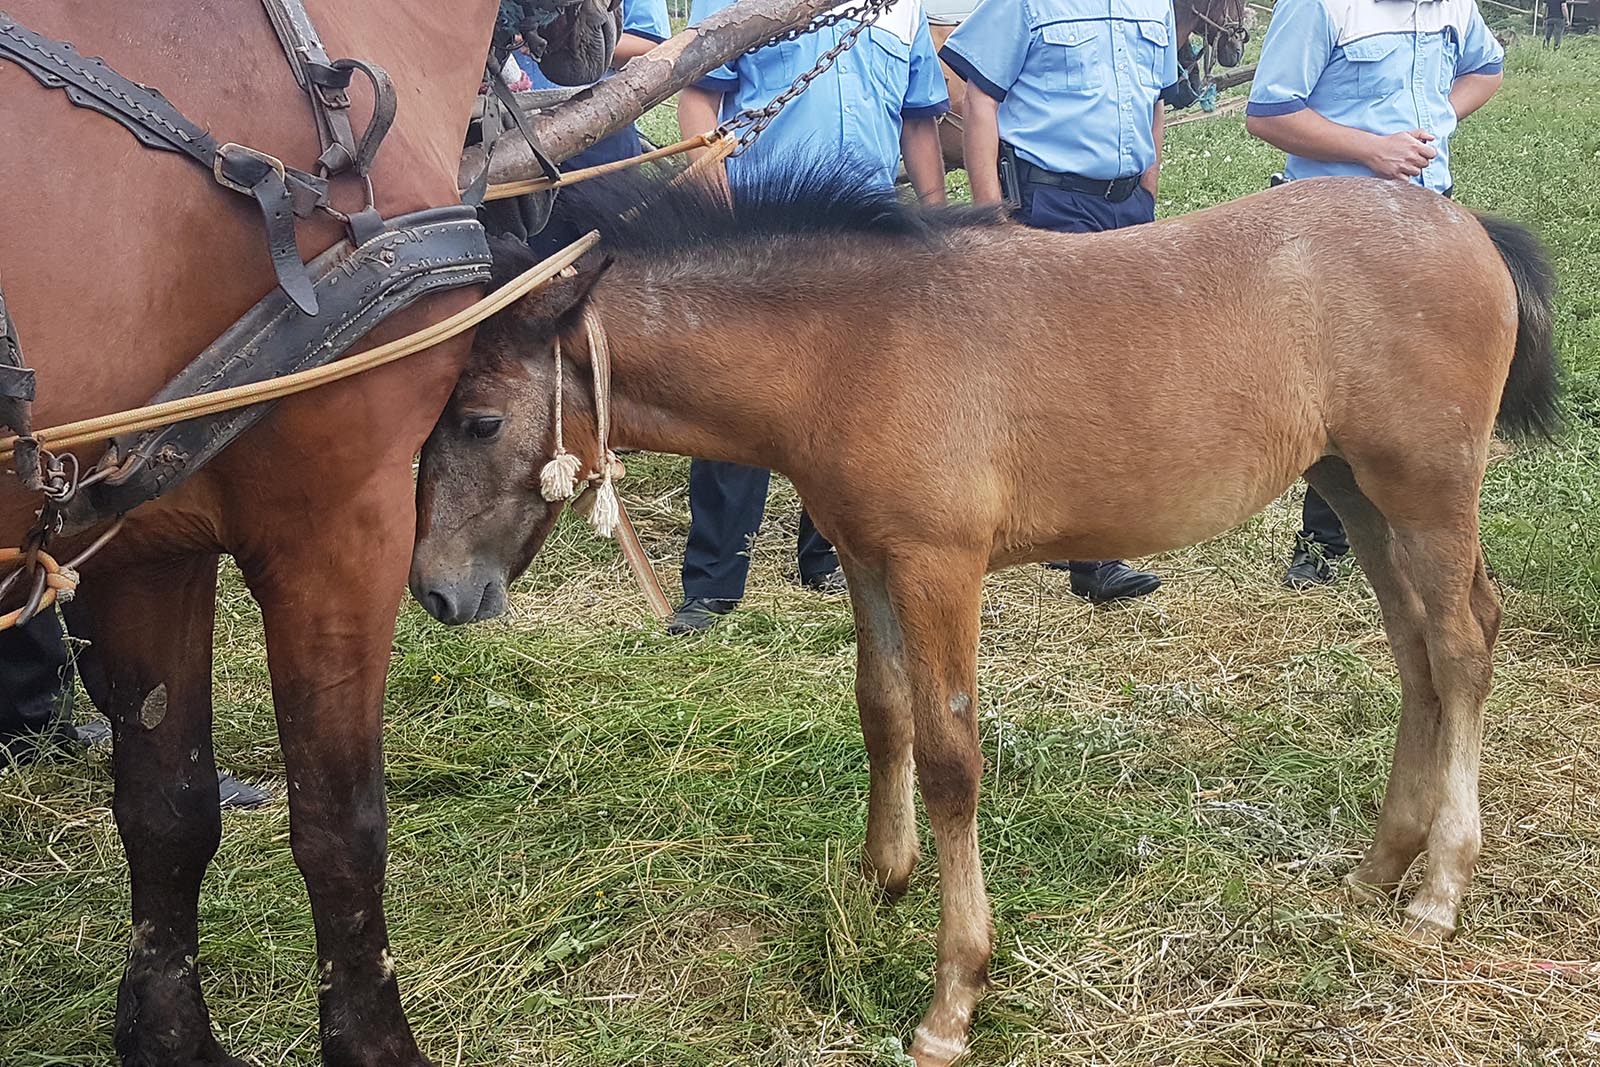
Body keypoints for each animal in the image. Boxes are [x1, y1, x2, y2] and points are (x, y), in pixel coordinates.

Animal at [0, 2, 499, 1067]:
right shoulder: (345, 518)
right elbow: (340, 820)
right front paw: (374, 1042)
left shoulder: (147, 541)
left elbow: (167, 805)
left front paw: (169, 1036)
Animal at [412, 167, 1561, 1067]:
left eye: (479, 421)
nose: (435, 590)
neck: (853, 348)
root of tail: (1468, 225)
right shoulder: (869, 558)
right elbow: (880, 710)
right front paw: (880, 876)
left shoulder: (939, 567)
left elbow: (951, 755)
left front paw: (952, 994)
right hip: (1357, 490)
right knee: (1418, 649)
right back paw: (1378, 865)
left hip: (1423, 488)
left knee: (1462, 647)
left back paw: (1439, 887)